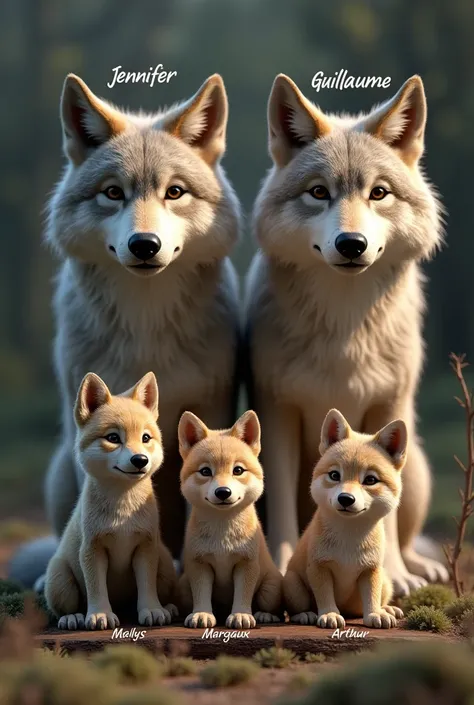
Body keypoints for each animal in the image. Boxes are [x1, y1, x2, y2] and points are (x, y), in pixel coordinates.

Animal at [12, 74, 241, 584]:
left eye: (174, 192)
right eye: (113, 193)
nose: (144, 244)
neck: (146, 321)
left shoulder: (210, 406)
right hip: (60, 467)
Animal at [44, 372, 177, 628]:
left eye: (146, 437)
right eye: (113, 438)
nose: (140, 460)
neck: (122, 508)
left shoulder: (146, 547)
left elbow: (147, 586)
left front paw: (152, 609)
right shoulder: (92, 549)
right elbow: (96, 588)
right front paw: (100, 614)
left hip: (165, 565)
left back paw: (169, 607)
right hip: (59, 577)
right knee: (64, 608)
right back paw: (72, 617)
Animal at [246, 73, 450, 592]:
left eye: (378, 193)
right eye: (319, 192)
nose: (351, 244)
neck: (344, 327)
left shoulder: (389, 405)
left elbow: (388, 517)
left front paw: (392, 576)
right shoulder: (277, 409)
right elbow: (281, 510)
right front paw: (282, 566)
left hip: (419, 468)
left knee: (410, 533)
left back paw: (421, 568)